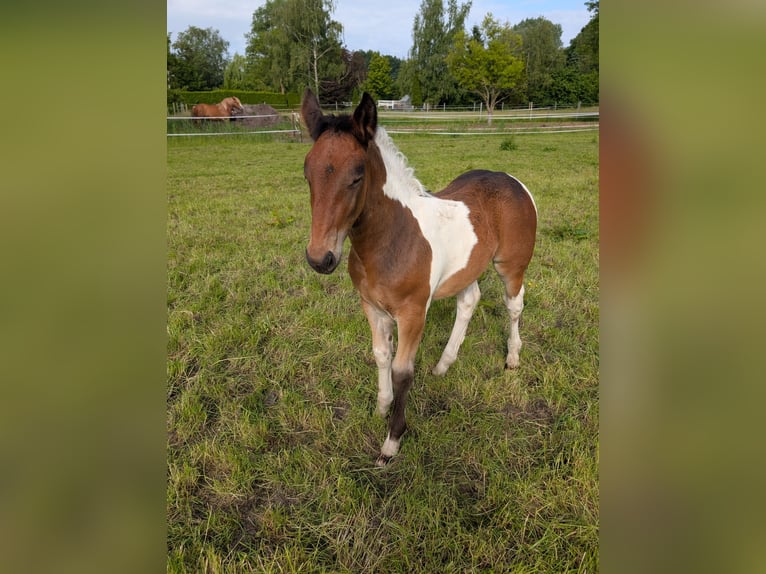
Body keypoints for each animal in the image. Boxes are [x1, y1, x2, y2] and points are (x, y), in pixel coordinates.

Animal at [300, 90, 538, 466]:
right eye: (307, 174)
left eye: (357, 175)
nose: (320, 258)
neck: (392, 238)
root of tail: (510, 179)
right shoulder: (372, 307)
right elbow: (381, 355)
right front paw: (380, 408)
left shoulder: (412, 312)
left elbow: (402, 371)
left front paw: (392, 442)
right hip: (467, 268)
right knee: (468, 302)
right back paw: (443, 365)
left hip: (511, 265)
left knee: (514, 307)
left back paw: (512, 359)